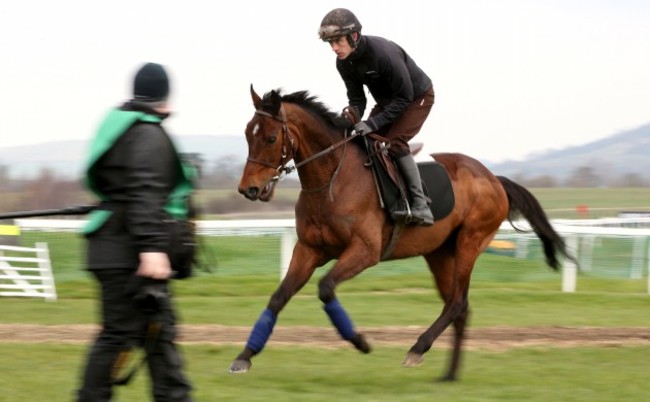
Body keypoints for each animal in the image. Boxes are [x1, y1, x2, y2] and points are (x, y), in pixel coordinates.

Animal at [229, 85, 572, 380]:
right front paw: (244, 356)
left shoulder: (366, 251)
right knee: (459, 306)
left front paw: (359, 340)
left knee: (457, 303)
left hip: (470, 242)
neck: (331, 180)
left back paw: (417, 348)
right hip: (439, 253)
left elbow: (326, 288)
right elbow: (278, 297)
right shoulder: (309, 249)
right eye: (247, 134)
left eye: (271, 137)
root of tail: (494, 179)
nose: (249, 189)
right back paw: (449, 375)